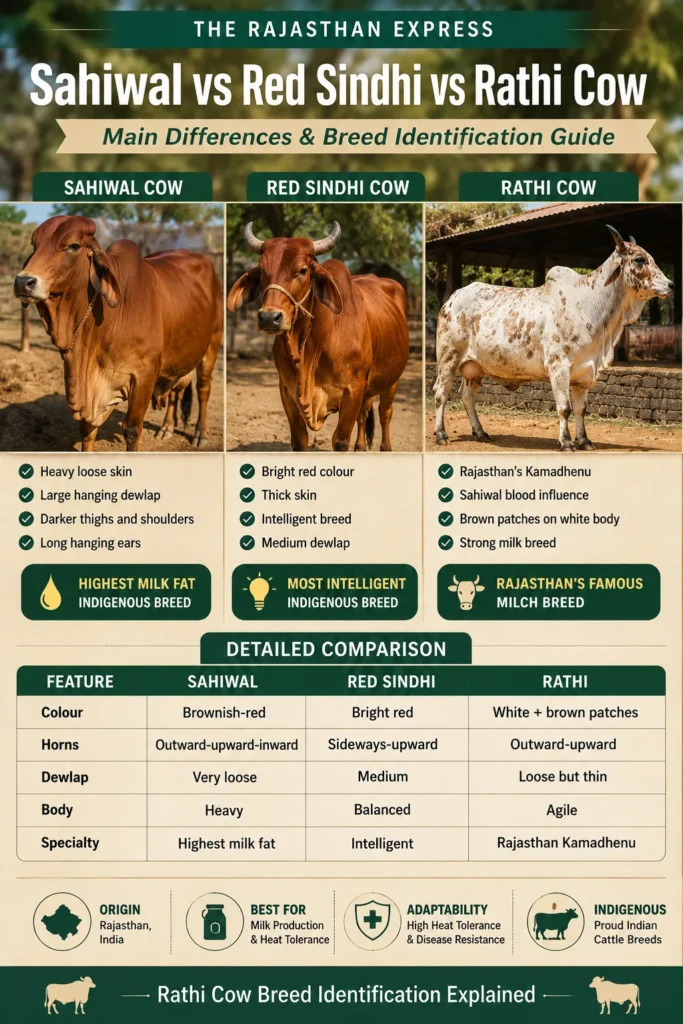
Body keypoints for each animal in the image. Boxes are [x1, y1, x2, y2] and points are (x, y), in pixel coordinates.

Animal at [14, 215, 223, 451]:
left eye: (74, 245)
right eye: (35, 245)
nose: (23, 282)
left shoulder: (144, 376)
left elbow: (131, 430)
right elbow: (87, 429)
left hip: (212, 345)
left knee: (203, 388)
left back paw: (200, 433)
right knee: (173, 392)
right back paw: (166, 428)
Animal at [227, 222, 409, 452]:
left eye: (303, 271)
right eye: (261, 270)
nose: (269, 317)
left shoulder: (354, 389)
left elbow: (340, 441)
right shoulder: (286, 388)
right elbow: (299, 440)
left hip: (392, 378)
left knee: (385, 413)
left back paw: (385, 447)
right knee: (364, 414)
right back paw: (360, 447)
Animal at [433, 225, 673, 451]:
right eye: (639, 259)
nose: (671, 284)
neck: (589, 305)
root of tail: (451, 299)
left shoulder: (583, 374)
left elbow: (581, 409)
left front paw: (584, 441)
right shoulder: (559, 367)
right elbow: (564, 408)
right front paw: (566, 442)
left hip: (474, 368)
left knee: (467, 396)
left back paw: (481, 432)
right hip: (448, 359)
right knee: (440, 393)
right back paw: (441, 435)